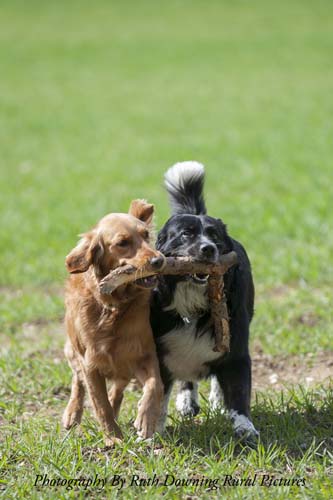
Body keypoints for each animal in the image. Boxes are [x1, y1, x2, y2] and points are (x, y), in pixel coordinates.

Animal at [149, 162, 258, 440]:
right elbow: (158, 396)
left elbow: (238, 392)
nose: (208, 248)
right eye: (185, 235)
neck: (192, 305)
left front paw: (245, 428)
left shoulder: (236, 348)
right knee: (187, 378)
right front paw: (152, 433)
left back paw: (218, 402)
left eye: (215, 236)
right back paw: (187, 401)